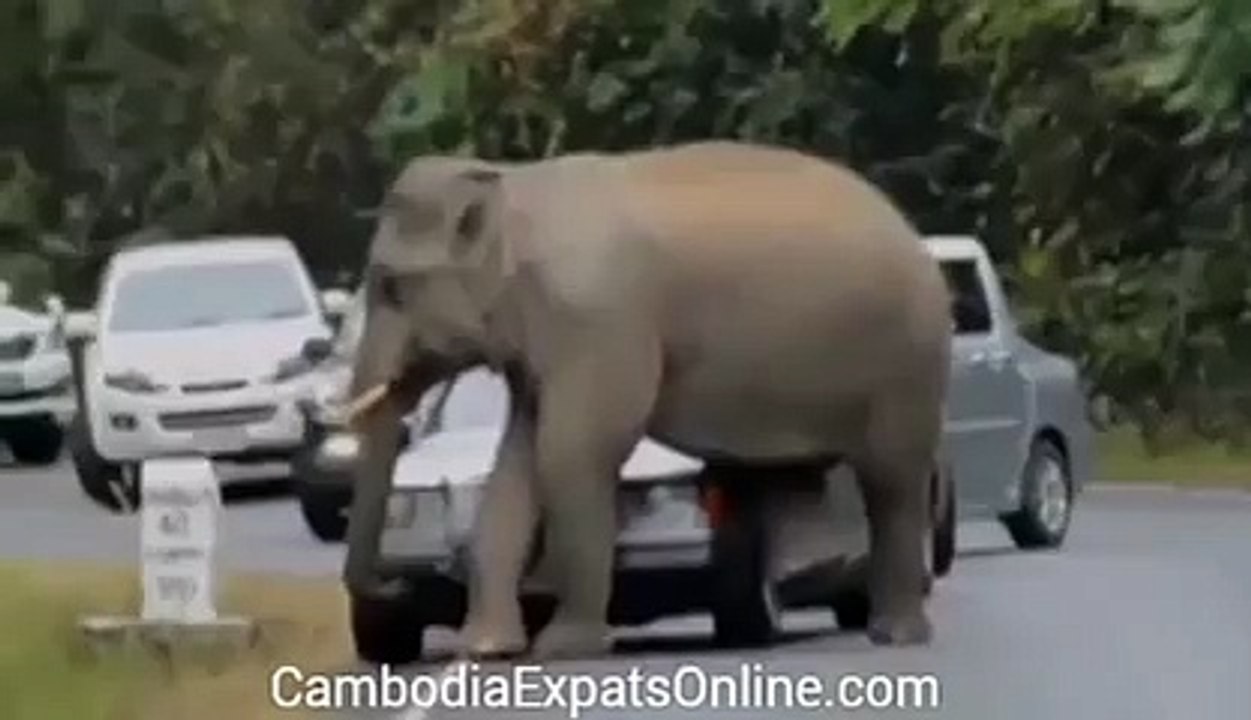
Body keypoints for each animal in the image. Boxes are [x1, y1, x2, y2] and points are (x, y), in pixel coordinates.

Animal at [342, 140, 953, 660]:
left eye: (391, 287)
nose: (389, 584)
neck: (510, 184)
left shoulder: (598, 321)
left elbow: (574, 453)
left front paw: (565, 648)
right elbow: (518, 464)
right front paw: (488, 649)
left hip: (908, 364)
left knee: (893, 481)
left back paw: (896, 635)